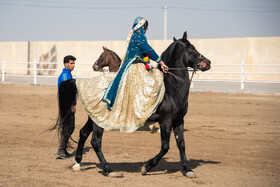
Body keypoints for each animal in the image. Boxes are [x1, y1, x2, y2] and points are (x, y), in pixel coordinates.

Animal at [56, 32, 210, 178]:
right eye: (192, 49)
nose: (207, 63)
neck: (172, 87)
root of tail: (83, 82)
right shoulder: (166, 121)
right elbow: (165, 147)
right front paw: (146, 167)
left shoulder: (178, 120)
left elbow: (181, 144)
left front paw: (187, 169)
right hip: (99, 122)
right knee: (95, 141)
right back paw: (109, 170)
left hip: (95, 118)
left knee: (83, 133)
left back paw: (77, 163)